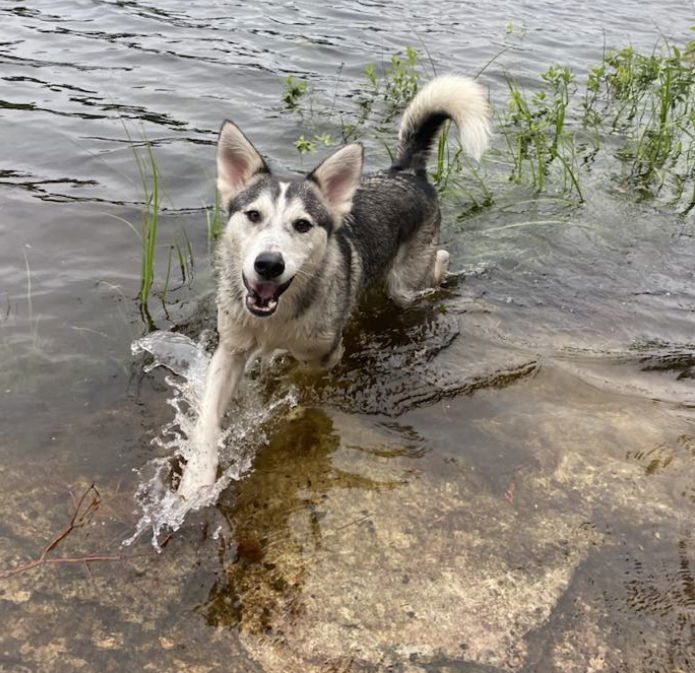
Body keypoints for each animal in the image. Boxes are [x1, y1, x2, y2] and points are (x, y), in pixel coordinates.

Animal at [177, 73, 492, 498]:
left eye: (303, 225)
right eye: (253, 215)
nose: (268, 265)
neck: (277, 319)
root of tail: (406, 172)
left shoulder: (324, 355)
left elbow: (300, 381)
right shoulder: (231, 348)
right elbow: (208, 419)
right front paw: (196, 479)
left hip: (407, 281)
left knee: (436, 263)